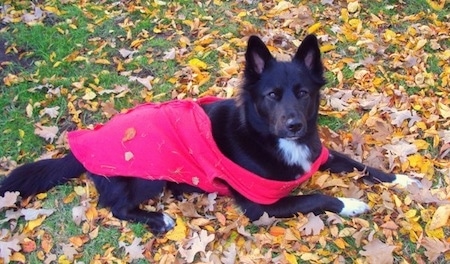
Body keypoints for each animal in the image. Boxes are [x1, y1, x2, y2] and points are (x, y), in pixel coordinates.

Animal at [0, 34, 418, 233]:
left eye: (303, 93)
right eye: (271, 95)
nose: (294, 125)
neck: (271, 138)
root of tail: (81, 147)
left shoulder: (321, 154)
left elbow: (361, 165)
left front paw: (402, 180)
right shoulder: (261, 206)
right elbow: (317, 196)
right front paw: (351, 204)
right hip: (149, 175)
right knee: (115, 208)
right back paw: (159, 220)